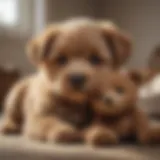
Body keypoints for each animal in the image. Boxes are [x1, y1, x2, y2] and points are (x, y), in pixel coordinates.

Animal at [0, 18, 131, 141]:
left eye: (95, 59)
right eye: (61, 59)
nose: (77, 78)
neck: (73, 102)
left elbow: (98, 124)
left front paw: (102, 132)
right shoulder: (37, 118)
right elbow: (50, 122)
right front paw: (63, 130)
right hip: (14, 95)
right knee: (11, 115)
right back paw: (8, 125)